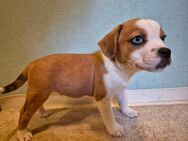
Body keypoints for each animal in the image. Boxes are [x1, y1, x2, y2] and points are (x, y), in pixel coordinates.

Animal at [0, 18, 172, 140]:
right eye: (137, 39)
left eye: (163, 38)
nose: (166, 51)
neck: (119, 66)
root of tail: (33, 62)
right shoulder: (103, 98)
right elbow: (109, 116)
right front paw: (114, 129)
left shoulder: (121, 88)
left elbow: (123, 101)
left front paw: (127, 111)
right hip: (38, 93)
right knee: (24, 112)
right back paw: (22, 133)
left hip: (41, 92)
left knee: (36, 106)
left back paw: (43, 113)